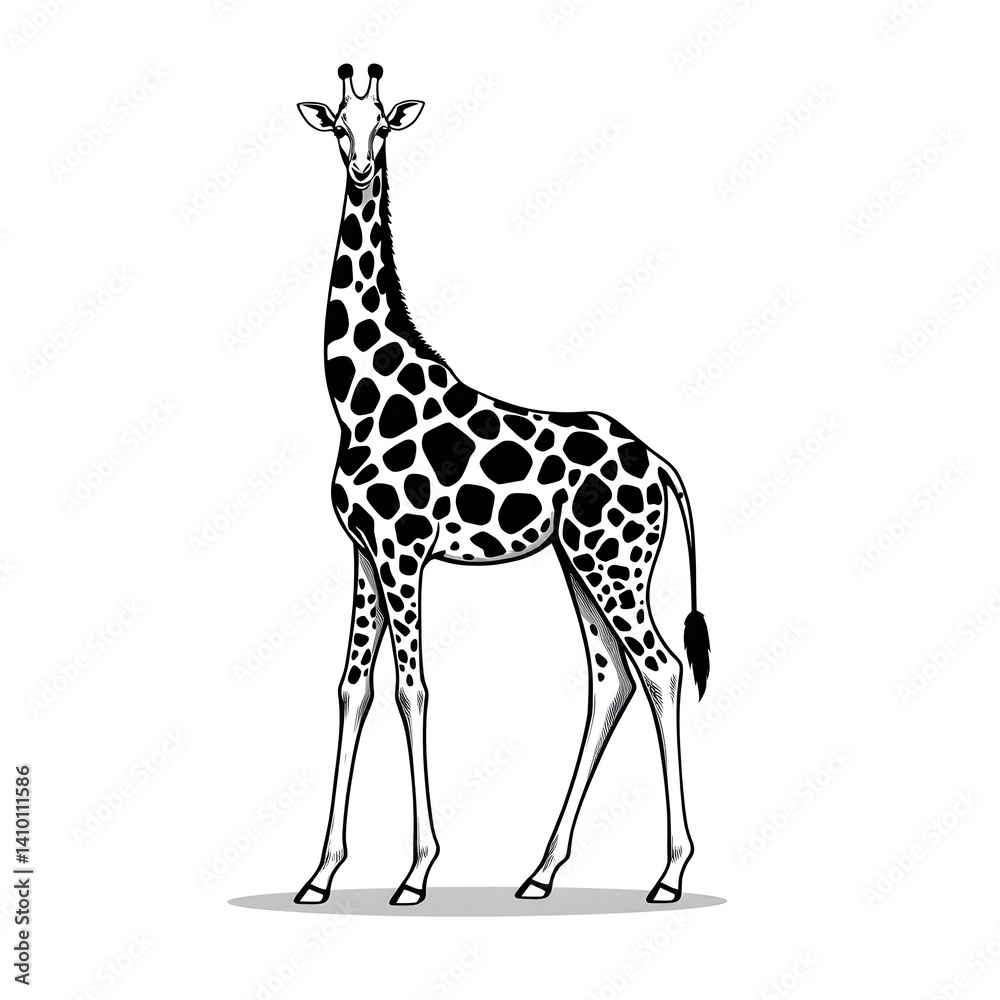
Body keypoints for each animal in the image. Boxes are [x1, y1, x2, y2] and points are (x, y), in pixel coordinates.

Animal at [292, 64, 711, 907]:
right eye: (339, 125)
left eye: (383, 125)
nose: (361, 167)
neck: (357, 396)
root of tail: (660, 464)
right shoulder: (361, 553)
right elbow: (351, 690)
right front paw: (320, 873)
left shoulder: (404, 552)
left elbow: (411, 691)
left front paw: (417, 872)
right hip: (580, 562)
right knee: (610, 680)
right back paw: (542, 870)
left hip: (614, 565)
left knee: (661, 668)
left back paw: (670, 873)